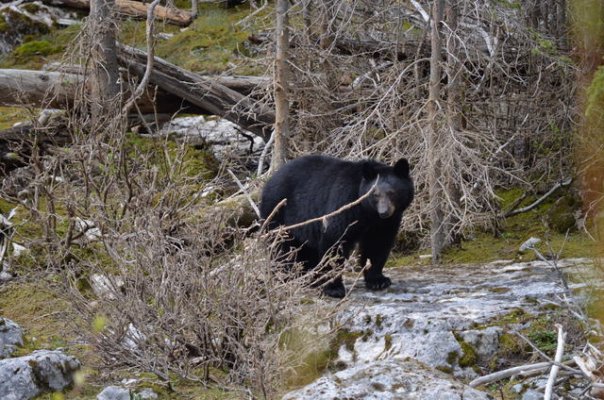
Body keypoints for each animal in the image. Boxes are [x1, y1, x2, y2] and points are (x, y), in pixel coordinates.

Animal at [260, 155, 416, 298]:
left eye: (392, 193)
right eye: (375, 194)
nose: (384, 212)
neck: (367, 212)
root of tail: (270, 180)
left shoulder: (385, 223)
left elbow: (378, 243)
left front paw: (378, 280)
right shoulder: (344, 202)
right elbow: (334, 239)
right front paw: (334, 288)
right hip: (279, 213)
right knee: (281, 247)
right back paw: (286, 276)